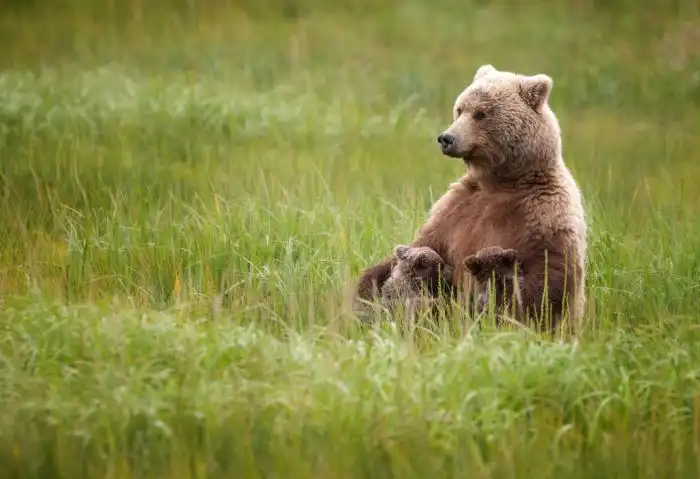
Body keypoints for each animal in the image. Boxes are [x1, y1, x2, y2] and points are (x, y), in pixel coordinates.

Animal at [352, 63, 588, 334]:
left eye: (481, 114)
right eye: (459, 109)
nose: (446, 138)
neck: (501, 182)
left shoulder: (545, 212)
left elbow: (548, 277)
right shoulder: (457, 209)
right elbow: (421, 245)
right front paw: (365, 291)